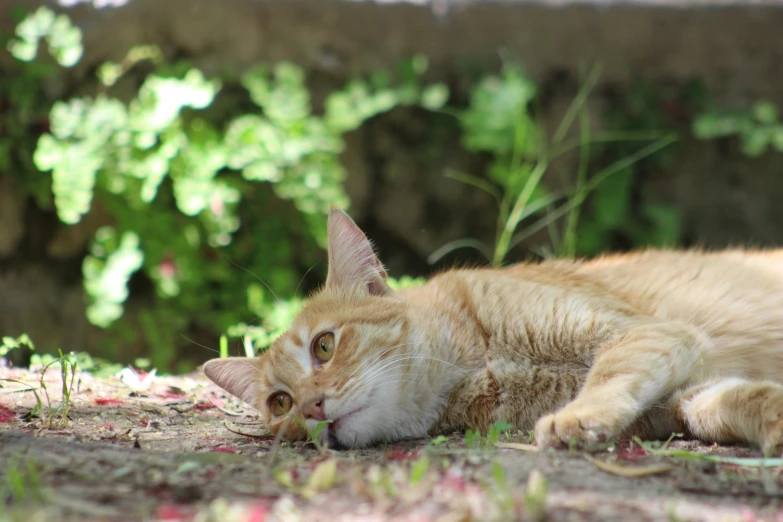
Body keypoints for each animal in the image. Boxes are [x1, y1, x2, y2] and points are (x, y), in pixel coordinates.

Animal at [204, 209, 783, 452]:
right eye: (280, 403)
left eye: (324, 346)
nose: (310, 408)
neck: (478, 364)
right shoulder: (689, 394)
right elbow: (739, 403)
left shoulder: (651, 334)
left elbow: (611, 373)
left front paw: (577, 416)